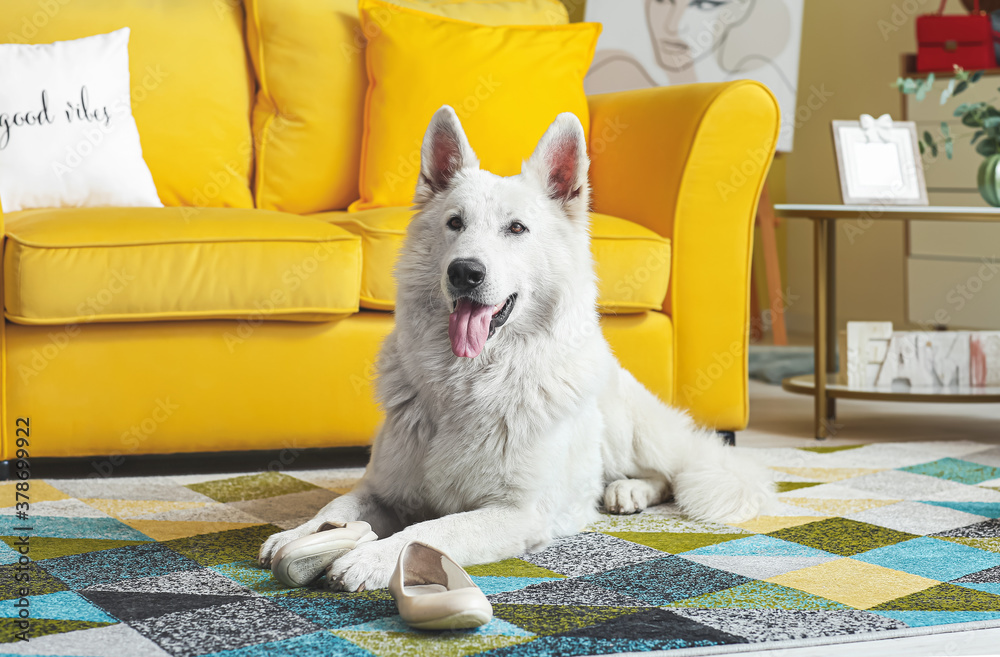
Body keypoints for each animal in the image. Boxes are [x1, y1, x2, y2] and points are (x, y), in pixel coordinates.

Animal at [258, 106, 772, 588]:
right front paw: (299, 535)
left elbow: (431, 530)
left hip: (628, 431)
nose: (464, 272)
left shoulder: (515, 513)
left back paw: (627, 491)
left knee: (668, 472)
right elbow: (338, 504)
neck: (468, 383)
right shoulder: (383, 488)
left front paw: (371, 557)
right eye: (455, 223)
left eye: (517, 229)